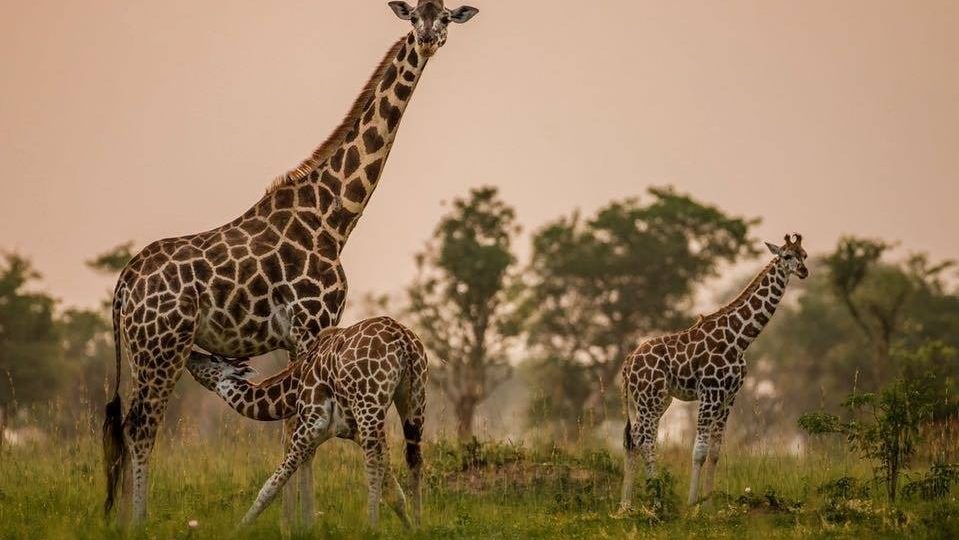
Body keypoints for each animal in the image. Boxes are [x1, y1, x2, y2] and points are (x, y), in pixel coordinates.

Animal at [185, 316, 428, 528]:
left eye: (215, 358)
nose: (190, 356)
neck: (293, 389)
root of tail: (402, 339)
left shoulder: (310, 424)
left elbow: (271, 485)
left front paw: (239, 528)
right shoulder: (349, 430)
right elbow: (393, 490)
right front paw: (409, 527)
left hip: (369, 403)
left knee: (372, 460)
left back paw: (371, 527)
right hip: (414, 399)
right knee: (413, 458)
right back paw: (418, 525)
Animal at [618, 234, 809, 511]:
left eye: (804, 255)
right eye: (786, 255)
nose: (804, 271)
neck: (740, 339)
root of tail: (628, 363)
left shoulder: (729, 396)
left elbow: (716, 452)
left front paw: (708, 505)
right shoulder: (710, 393)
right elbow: (699, 451)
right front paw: (692, 505)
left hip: (658, 400)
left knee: (635, 438)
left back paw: (626, 504)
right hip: (649, 399)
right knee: (644, 439)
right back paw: (655, 500)